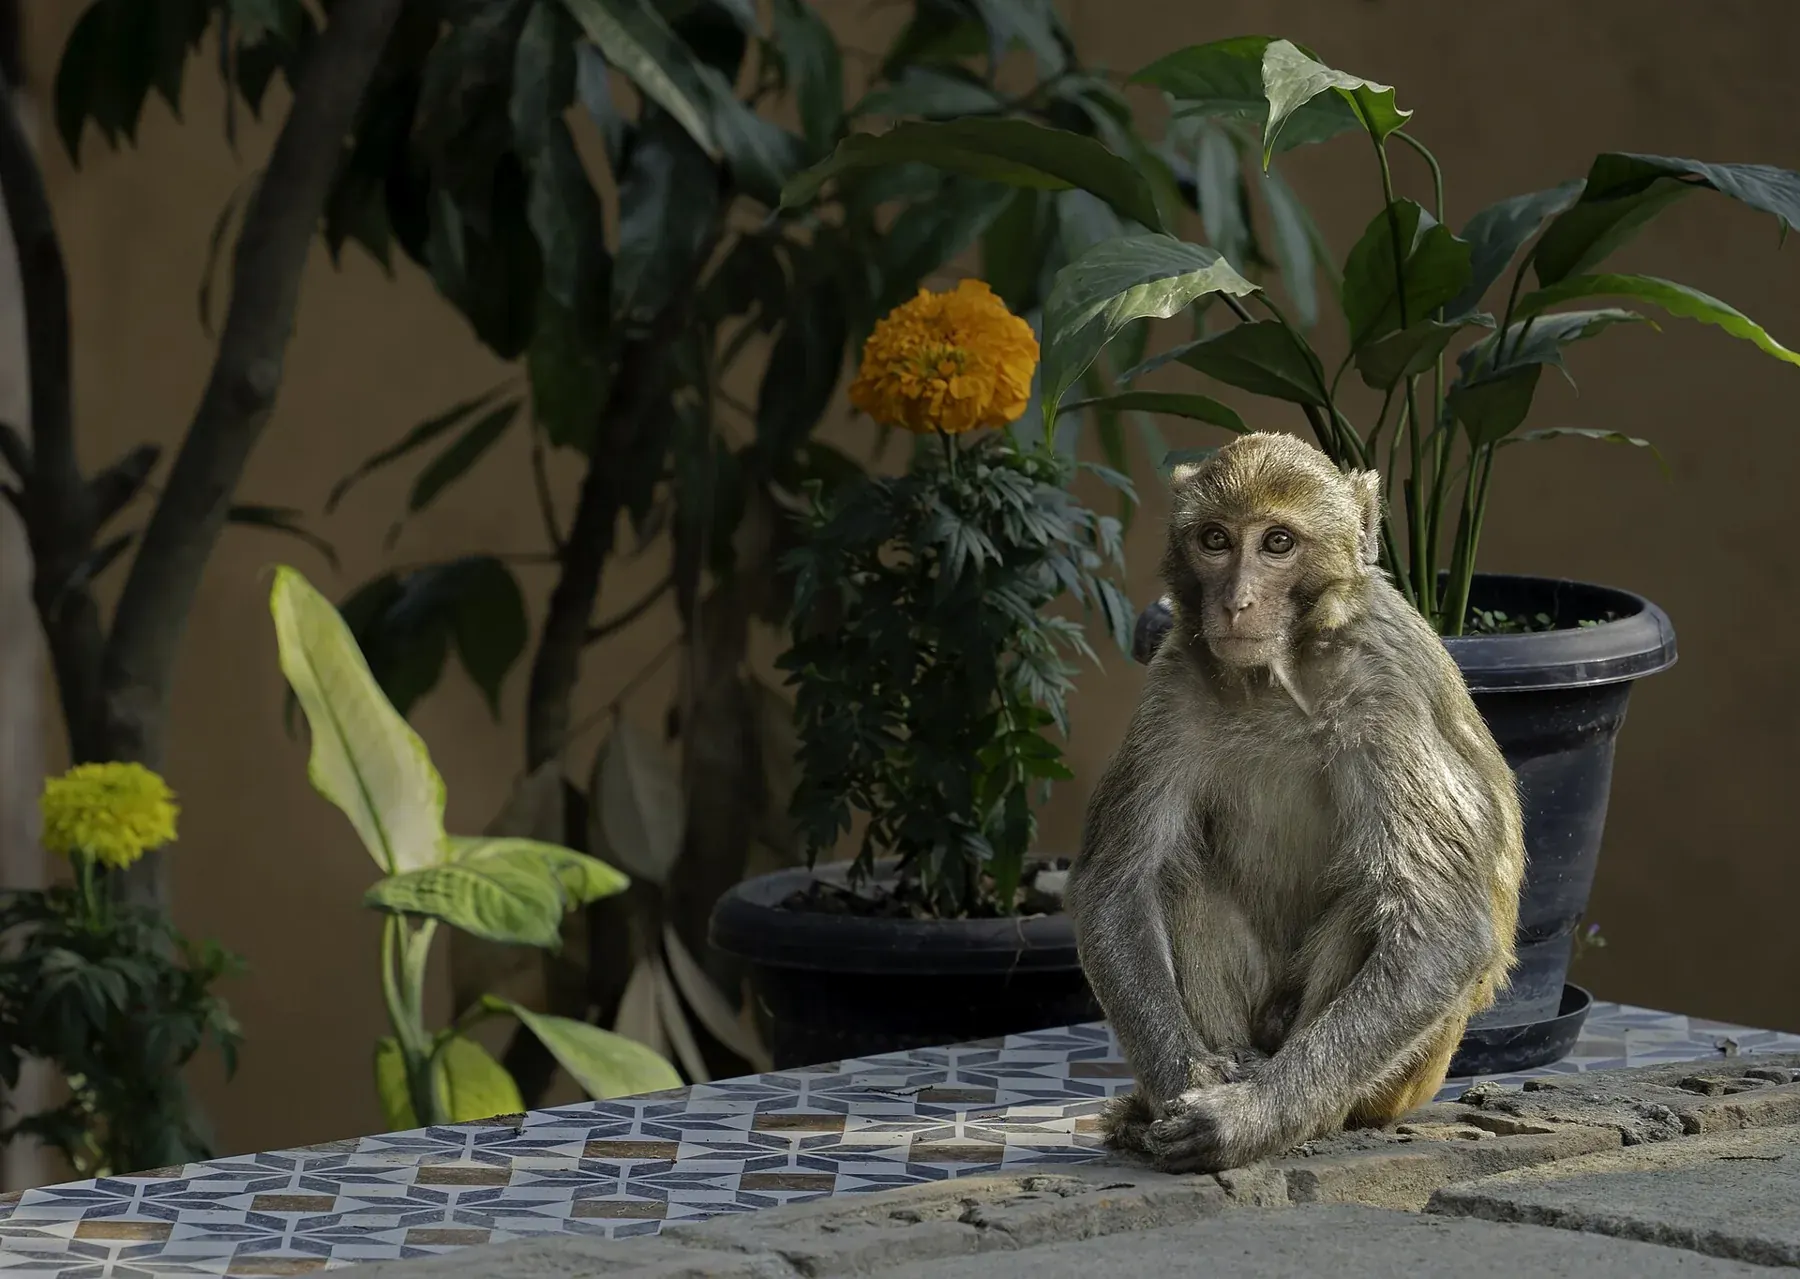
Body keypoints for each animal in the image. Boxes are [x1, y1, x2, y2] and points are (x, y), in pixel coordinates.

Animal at [1065, 431, 1525, 1174]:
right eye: (1216, 540)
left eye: (1277, 542)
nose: (1236, 602)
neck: (1277, 676)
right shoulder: (1174, 683)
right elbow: (1118, 885)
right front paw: (1189, 1084)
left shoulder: (1385, 700)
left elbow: (1443, 927)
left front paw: (1244, 1120)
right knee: (1175, 874)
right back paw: (1217, 1071)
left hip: (1407, 1077)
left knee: (1375, 901)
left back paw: (1309, 1118)